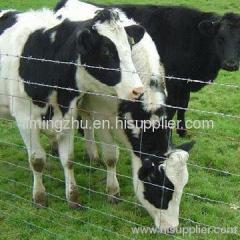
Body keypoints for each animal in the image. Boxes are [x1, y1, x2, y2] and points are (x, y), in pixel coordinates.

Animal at [0, 8, 144, 208]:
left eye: (129, 47)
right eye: (106, 51)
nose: (138, 90)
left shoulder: (68, 116)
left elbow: (68, 160)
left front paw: (73, 197)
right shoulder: (24, 120)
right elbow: (37, 160)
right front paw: (39, 197)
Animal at [54, 1, 240, 137]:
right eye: (220, 38)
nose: (231, 64)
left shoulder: (184, 84)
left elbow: (183, 106)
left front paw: (182, 131)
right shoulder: (172, 83)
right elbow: (171, 110)